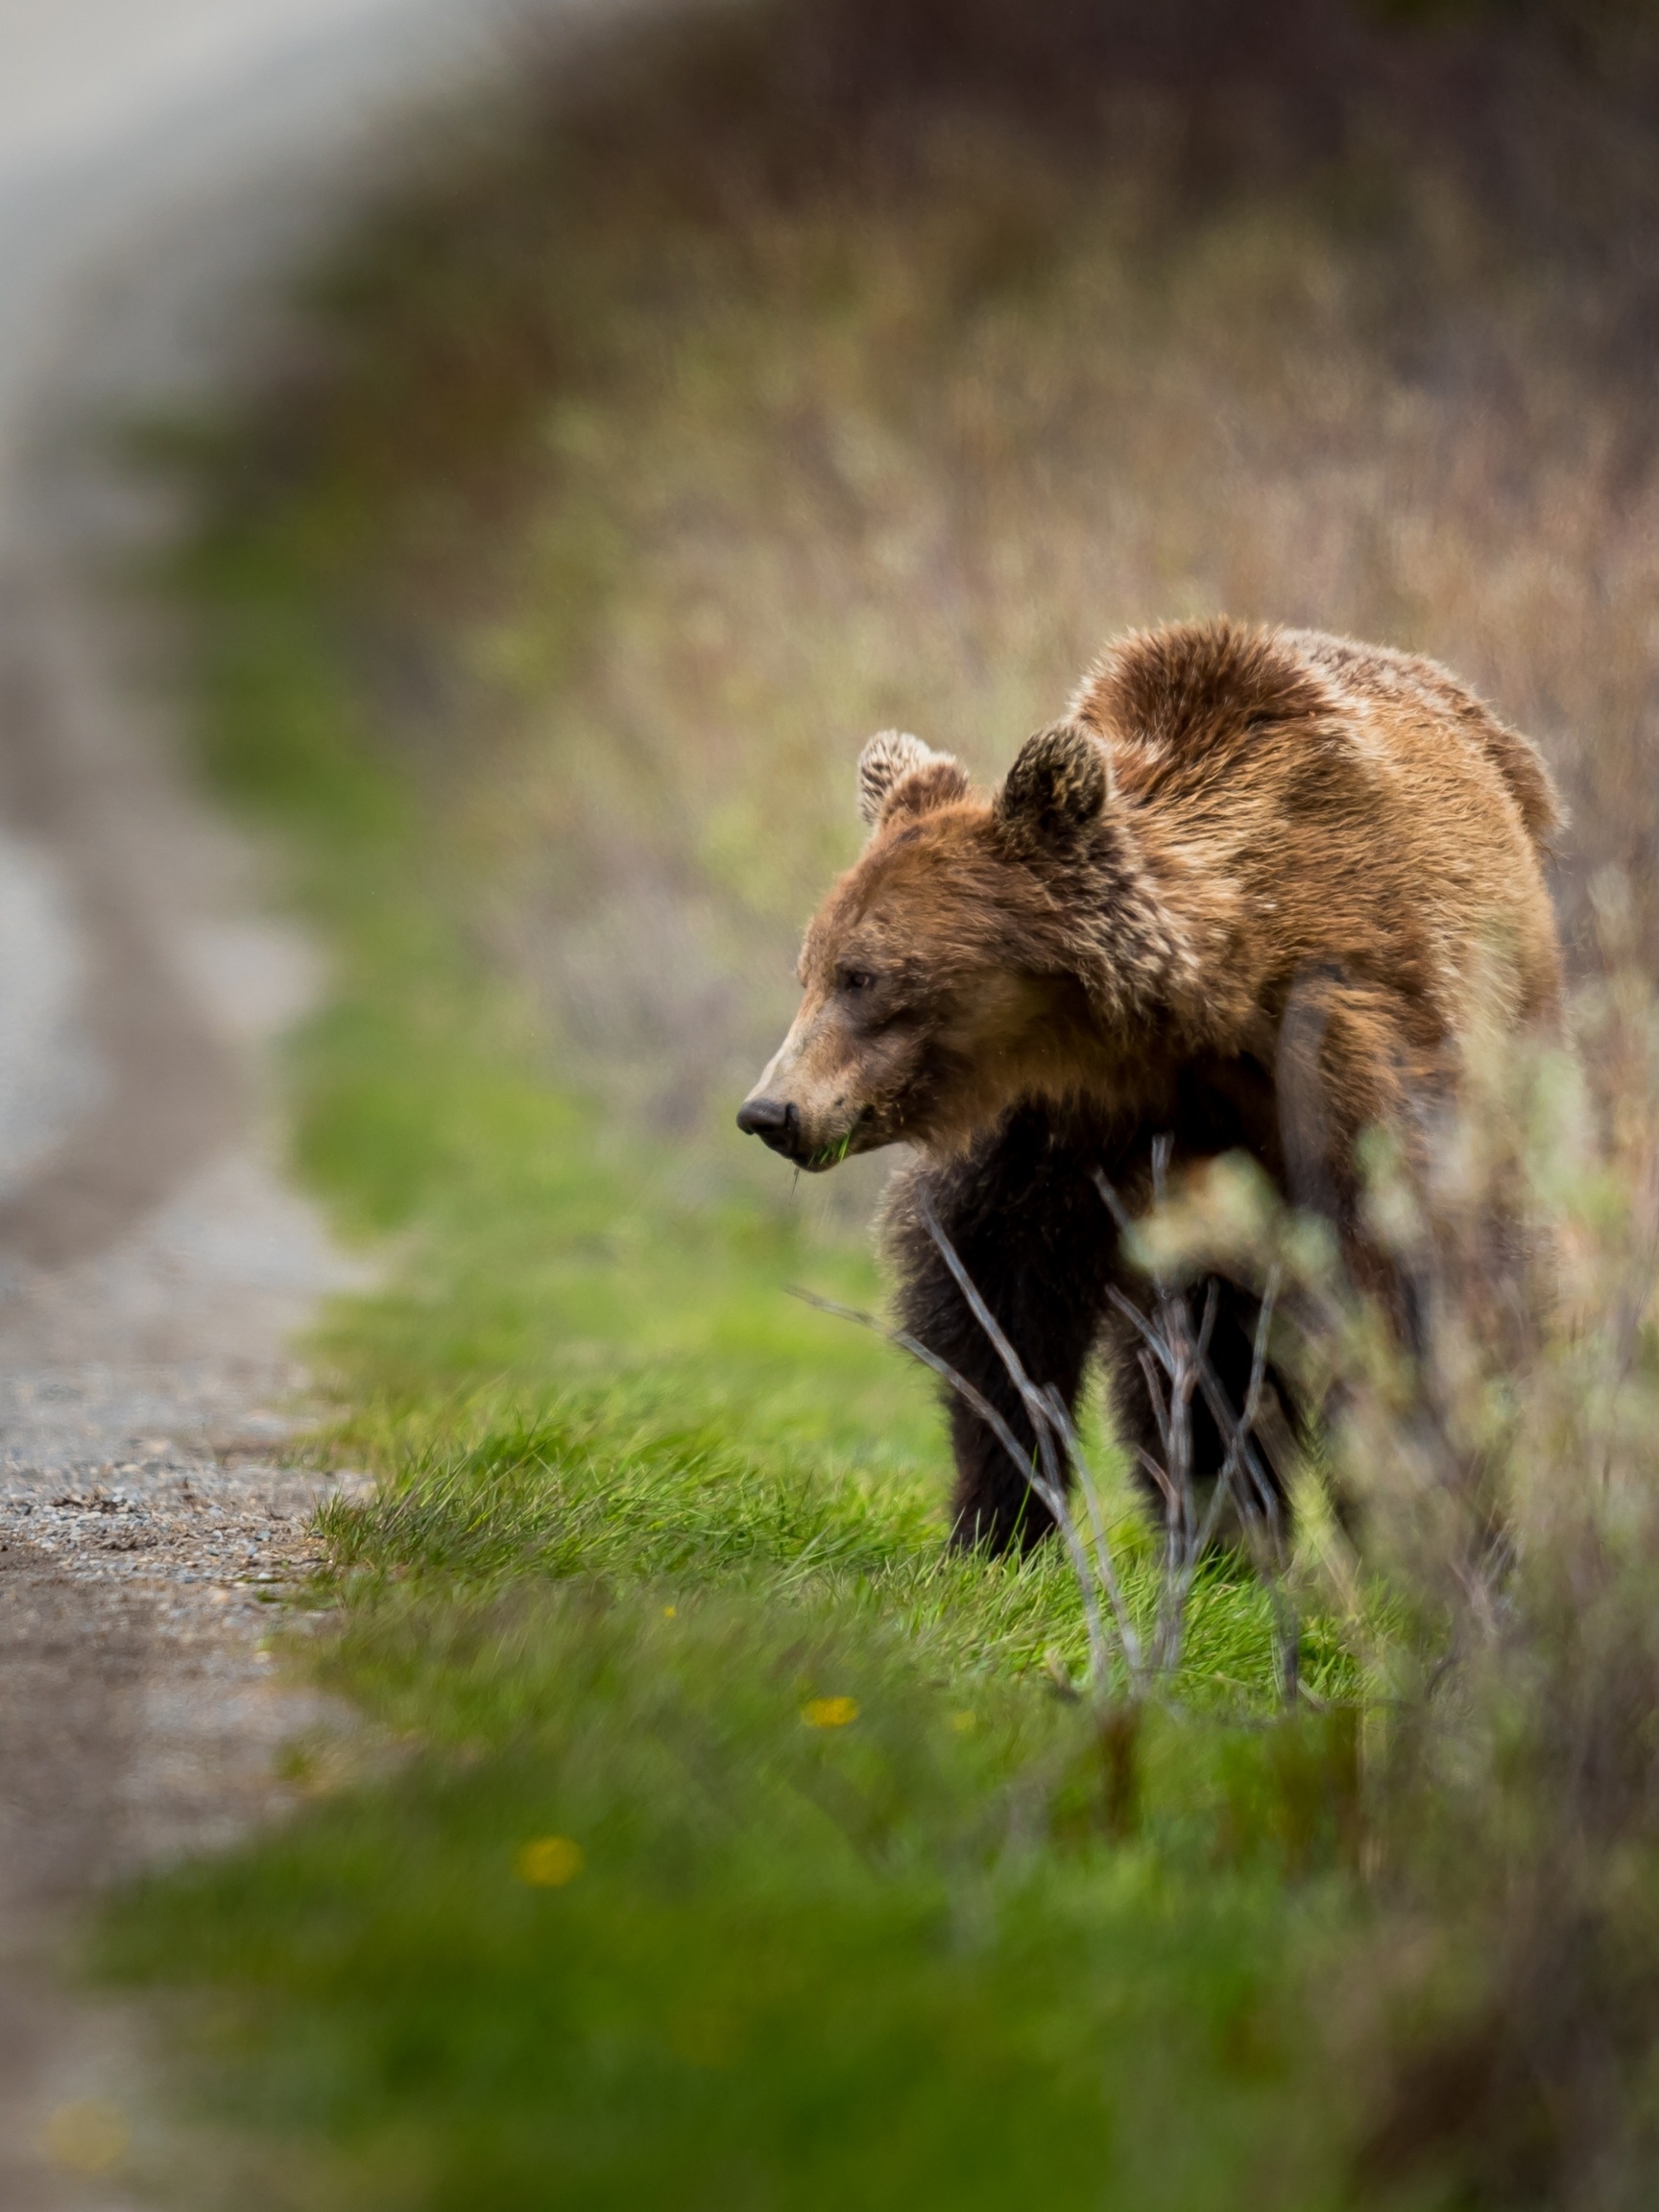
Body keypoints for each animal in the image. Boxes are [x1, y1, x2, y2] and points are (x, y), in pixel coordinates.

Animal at [733, 623, 1566, 1557]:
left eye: (863, 976)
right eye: (810, 971)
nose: (772, 1110)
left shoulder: (1349, 1047)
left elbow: (1410, 1280)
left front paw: (1423, 1518)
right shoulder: (1061, 1110)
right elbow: (998, 1290)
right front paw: (999, 1520)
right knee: (1203, 1346)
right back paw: (1220, 1528)